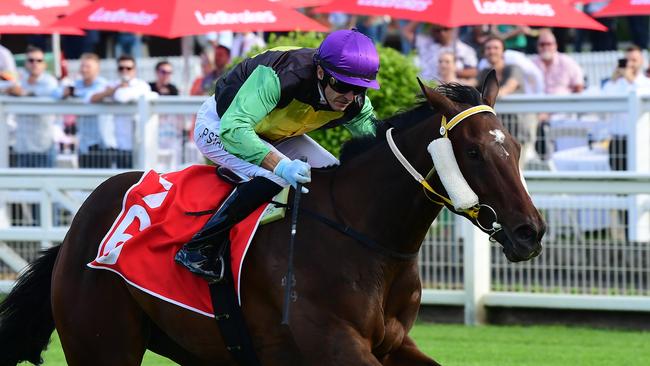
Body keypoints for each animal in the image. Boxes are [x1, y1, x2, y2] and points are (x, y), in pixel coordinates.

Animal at [0, 70, 540, 364]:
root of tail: (77, 230)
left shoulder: (393, 345)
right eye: (473, 153)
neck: (361, 238)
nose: (530, 232)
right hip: (103, 344)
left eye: (515, 148)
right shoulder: (334, 347)